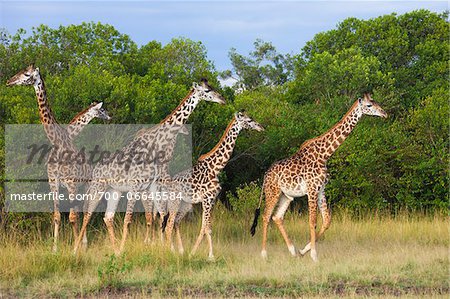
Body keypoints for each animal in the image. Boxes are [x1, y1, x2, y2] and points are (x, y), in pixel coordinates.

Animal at [6, 65, 111, 251]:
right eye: (22, 71)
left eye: (26, 74)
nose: (9, 81)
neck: (58, 141)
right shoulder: (53, 182)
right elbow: (56, 215)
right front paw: (55, 249)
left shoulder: (71, 183)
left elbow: (72, 217)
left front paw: (75, 248)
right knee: (80, 209)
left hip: (86, 185)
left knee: (84, 209)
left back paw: (83, 244)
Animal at [74, 78, 227, 254]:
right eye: (207, 91)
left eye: (212, 87)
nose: (222, 99)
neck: (156, 143)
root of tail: (95, 170)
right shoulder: (135, 186)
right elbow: (128, 219)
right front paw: (127, 250)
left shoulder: (151, 185)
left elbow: (160, 215)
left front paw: (165, 249)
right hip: (98, 187)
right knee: (88, 213)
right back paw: (77, 249)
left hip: (115, 190)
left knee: (108, 217)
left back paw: (115, 250)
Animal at [156, 112, 266, 260]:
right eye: (249, 120)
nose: (261, 127)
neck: (216, 168)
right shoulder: (207, 199)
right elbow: (206, 228)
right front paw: (205, 255)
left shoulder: (212, 199)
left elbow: (206, 227)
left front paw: (200, 254)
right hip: (175, 202)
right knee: (168, 226)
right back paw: (171, 252)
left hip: (185, 204)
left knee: (174, 223)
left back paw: (180, 251)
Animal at [250, 94, 386, 262]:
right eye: (368, 105)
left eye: (375, 102)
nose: (384, 113)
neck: (325, 154)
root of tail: (265, 175)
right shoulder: (312, 189)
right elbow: (312, 221)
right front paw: (314, 255)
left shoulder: (321, 190)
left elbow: (327, 221)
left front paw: (304, 250)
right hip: (272, 192)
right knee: (265, 216)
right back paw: (264, 254)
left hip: (286, 195)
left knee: (277, 217)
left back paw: (293, 251)